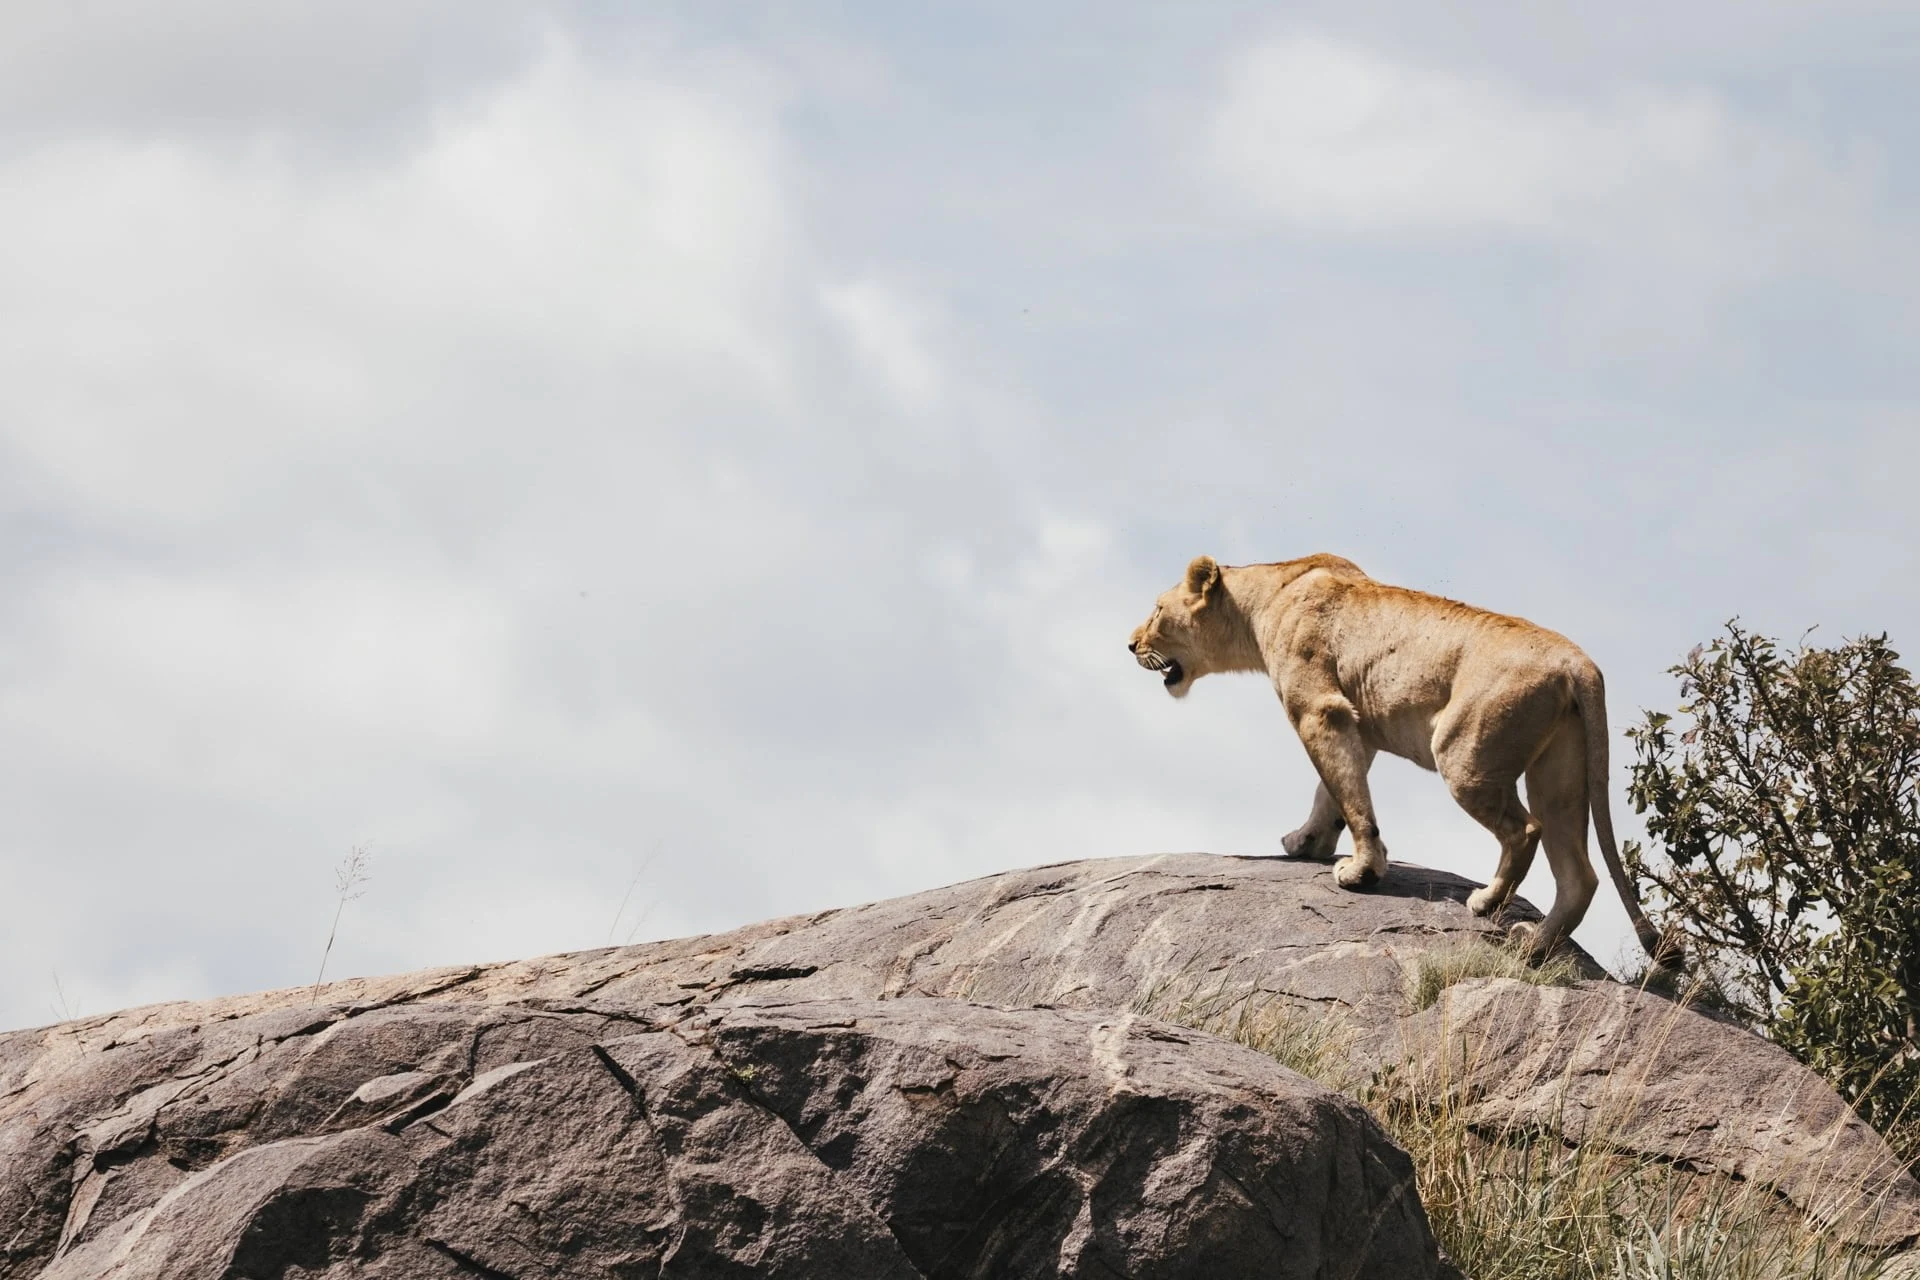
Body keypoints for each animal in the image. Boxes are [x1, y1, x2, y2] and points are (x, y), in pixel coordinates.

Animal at [1127, 552, 1672, 963]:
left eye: (1156, 609)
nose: (1130, 644)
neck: (1262, 601)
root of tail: (1579, 663)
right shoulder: (1355, 724)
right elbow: (1333, 791)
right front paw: (1308, 842)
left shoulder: (1319, 709)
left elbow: (1351, 800)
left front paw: (1361, 872)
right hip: (1559, 771)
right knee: (1579, 874)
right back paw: (1532, 947)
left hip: (1462, 753)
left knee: (1525, 831)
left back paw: (1487, 901)